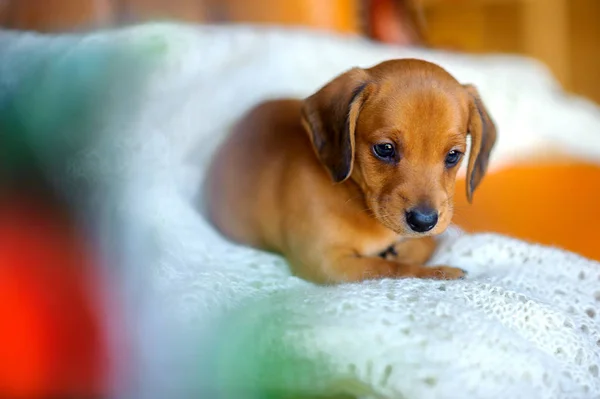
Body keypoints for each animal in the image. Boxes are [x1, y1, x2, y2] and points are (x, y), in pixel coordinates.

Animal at [206, 59, 496, 284]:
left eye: (453, 155)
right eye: (385, 149)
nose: (423, 221)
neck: (354, 196)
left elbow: (428, 244)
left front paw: (406, 250)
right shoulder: (328, 262)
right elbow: (390, 269)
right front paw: (440, 273)